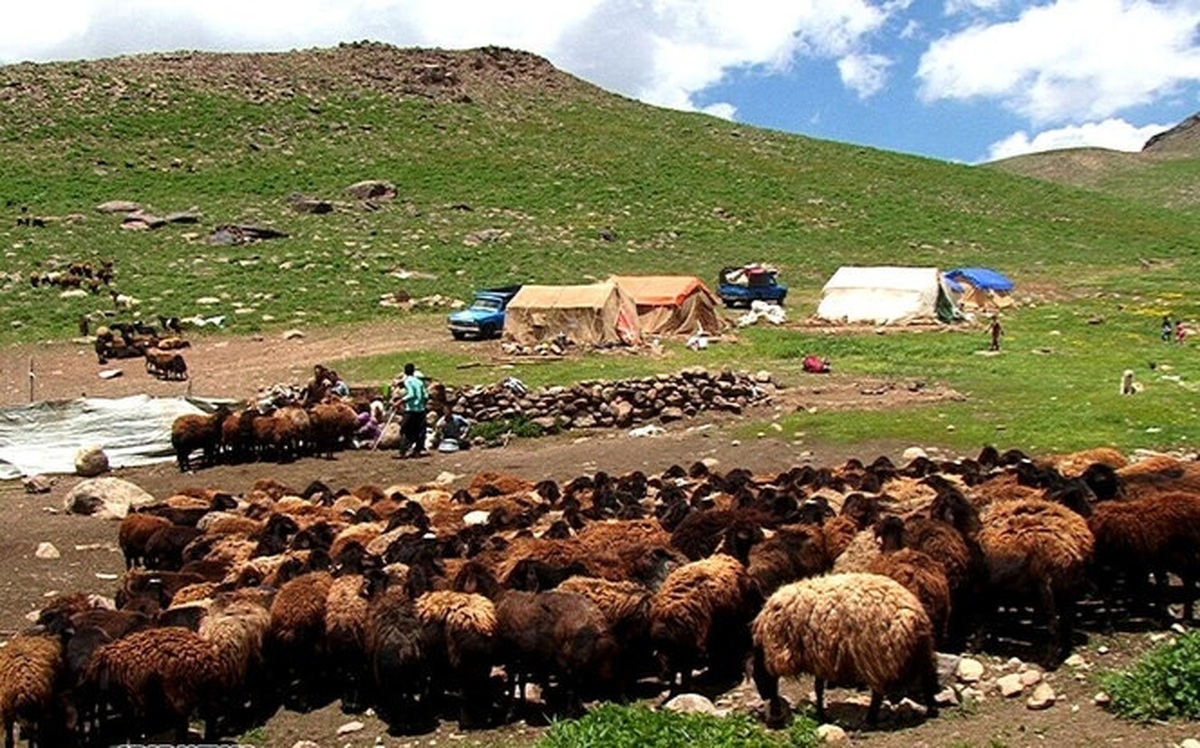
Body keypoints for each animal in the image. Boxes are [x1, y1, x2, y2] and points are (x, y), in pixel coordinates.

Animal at [748, 573, 936, 725]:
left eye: (759, 679)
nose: (765, 698)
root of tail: (915, 614)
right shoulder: (820, 657)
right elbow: (818, 686)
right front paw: (821, 713)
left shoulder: (817, 656)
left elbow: (817, 688)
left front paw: (820, 715)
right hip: (920, 650)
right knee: (928, 676)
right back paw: (931, 709)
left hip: (877, 655)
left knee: (878, 692)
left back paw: (870, 719)